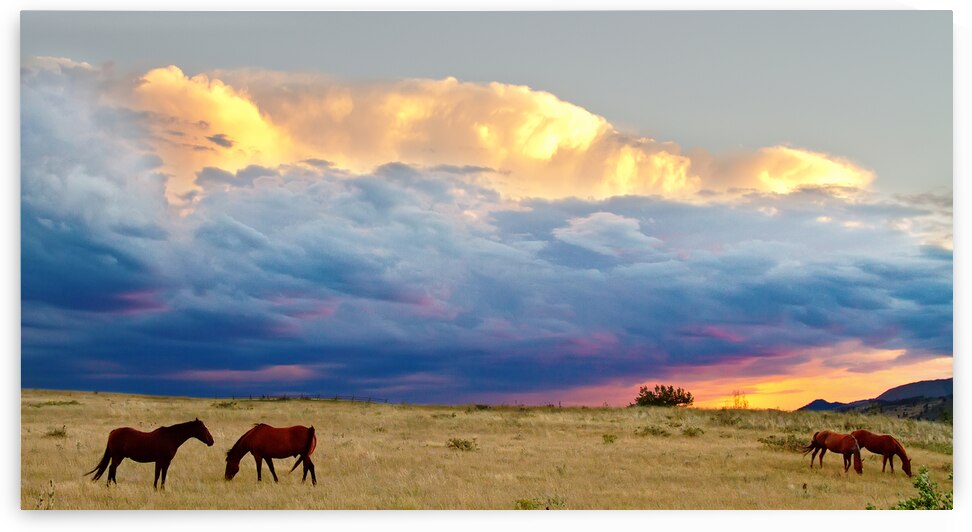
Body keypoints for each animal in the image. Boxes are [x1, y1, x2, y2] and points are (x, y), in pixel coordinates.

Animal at [85, 418, 214, 489]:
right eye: (203, 428)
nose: (212, 441)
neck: (171, 437)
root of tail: (114, 431)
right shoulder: (160, 460)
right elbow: (158, 475)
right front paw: (155, 489)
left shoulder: (166, 462)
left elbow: (163, 475)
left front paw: (162, 490)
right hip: (117, 456)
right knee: (112, 469)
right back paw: (112, 486)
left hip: (118, 457)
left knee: (112, 469)